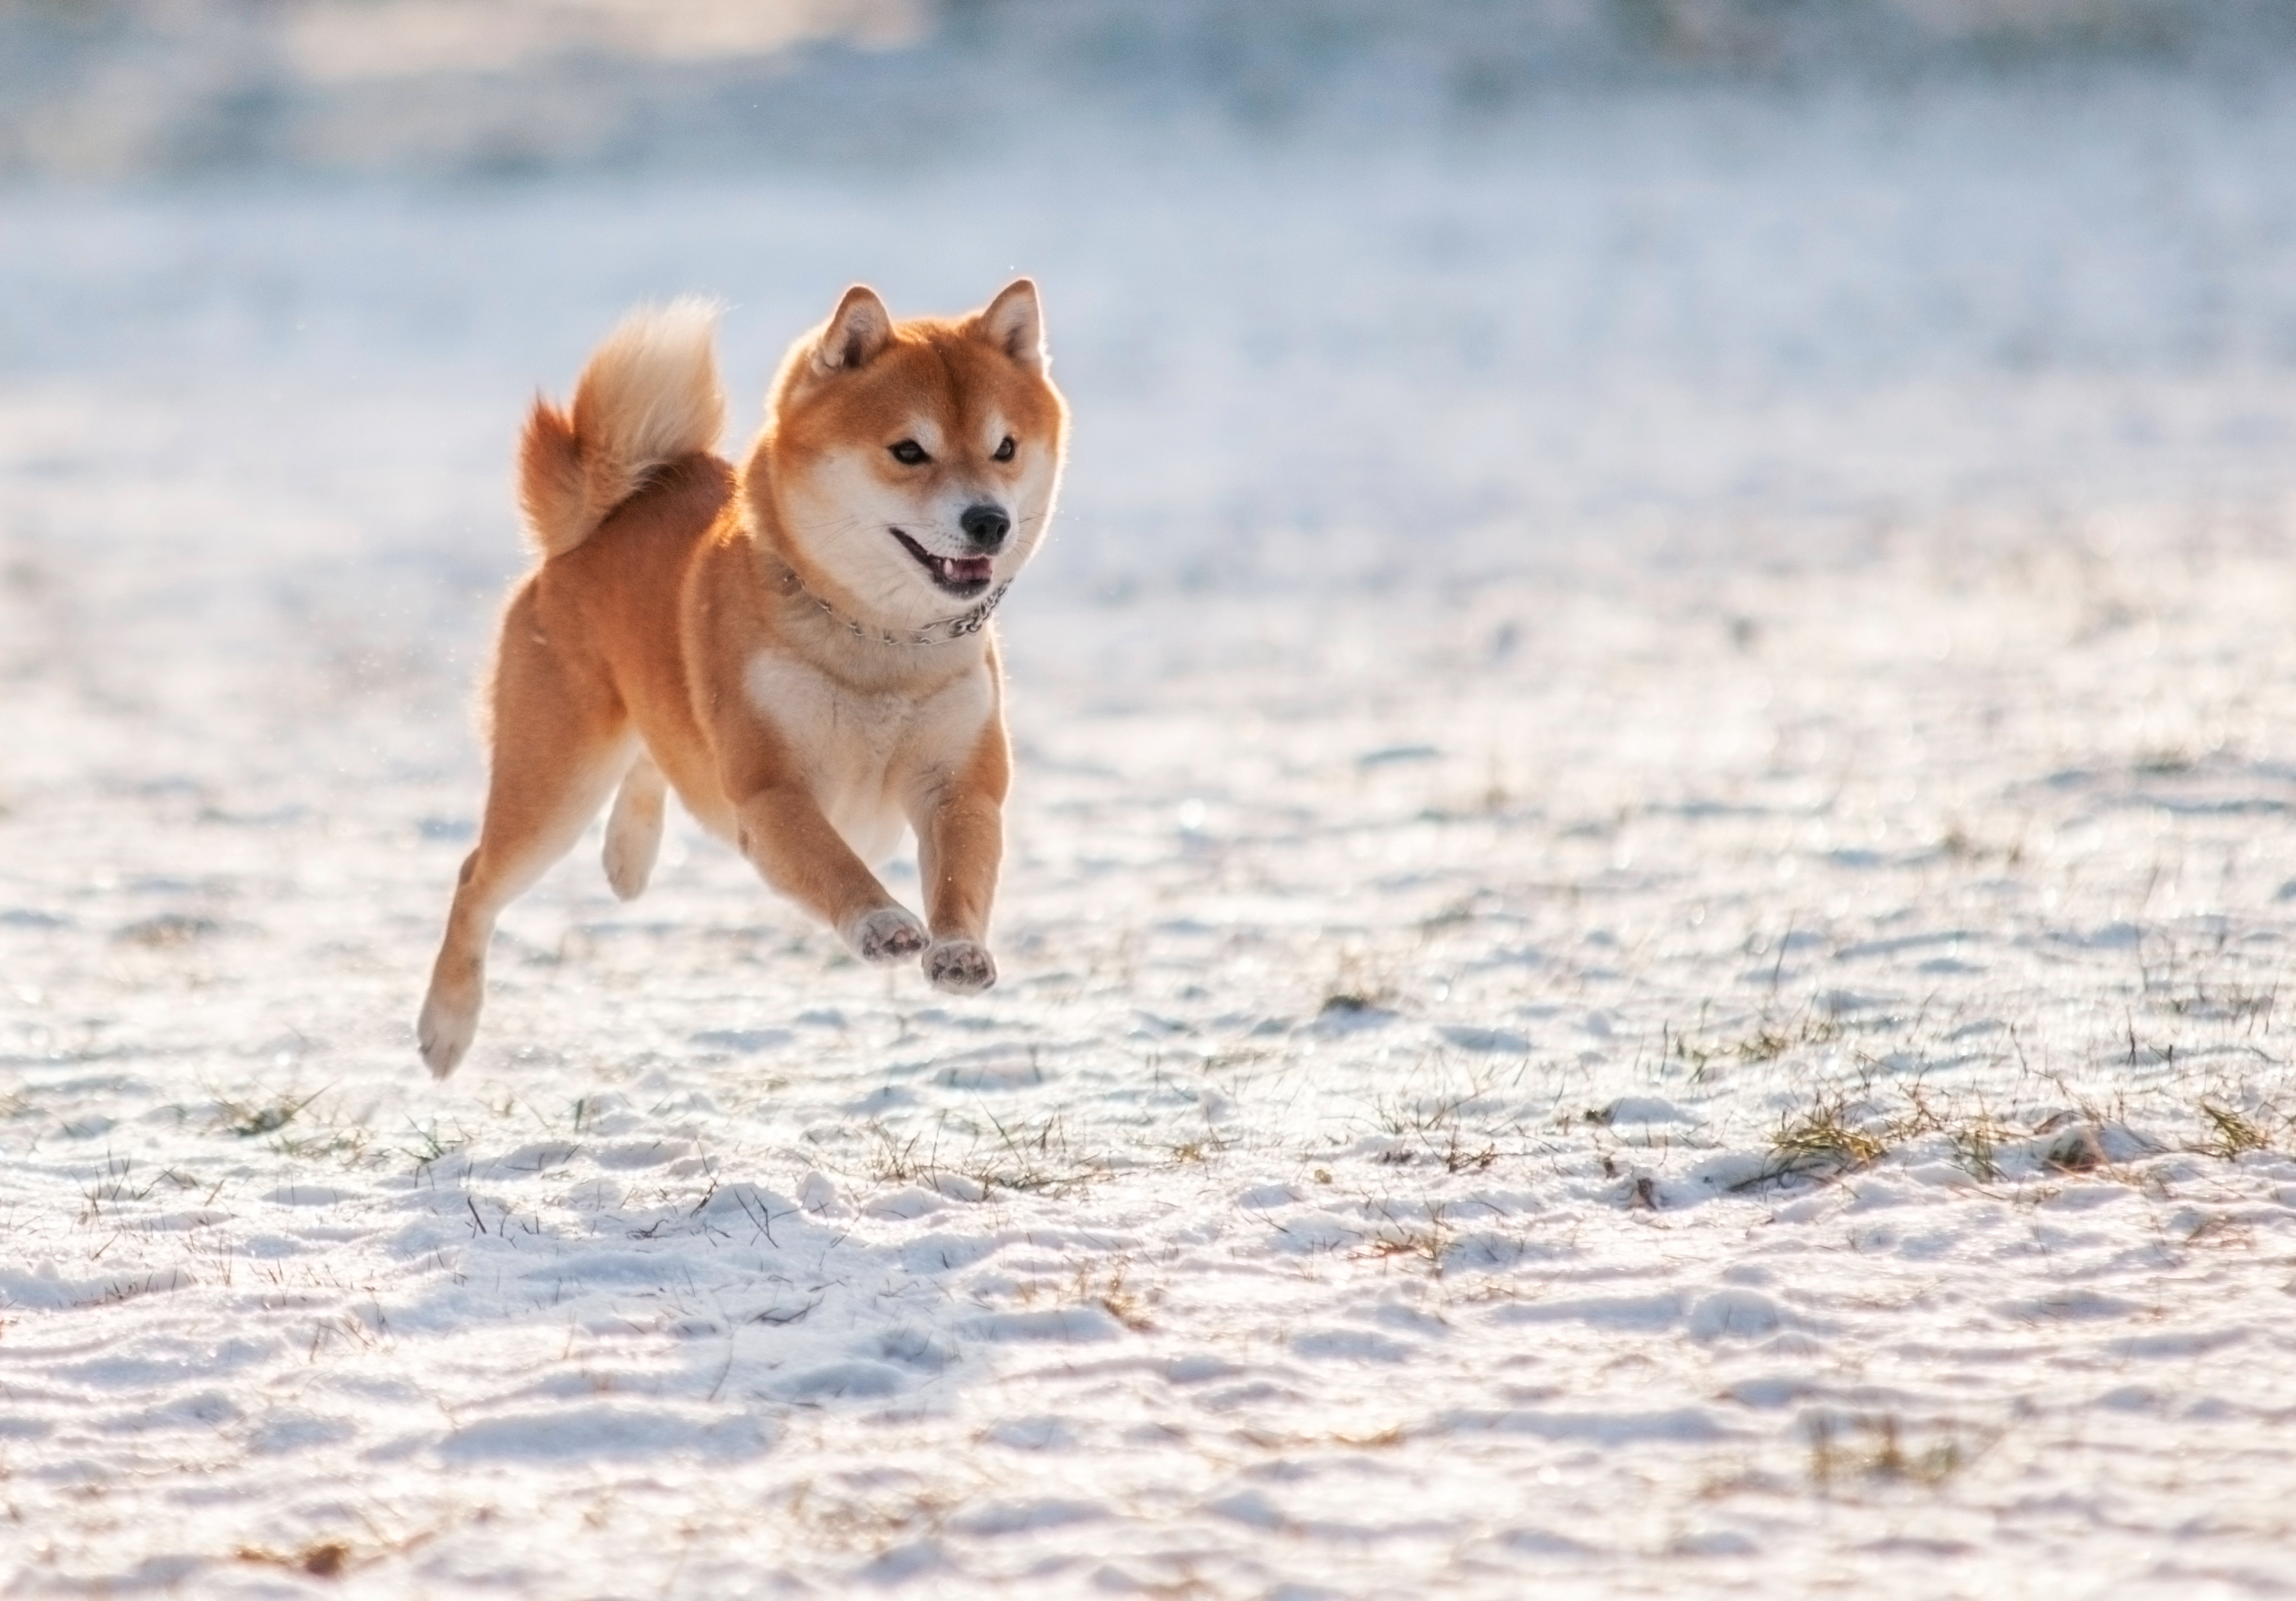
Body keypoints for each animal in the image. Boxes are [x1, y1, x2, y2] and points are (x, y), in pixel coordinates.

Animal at [417, 281, 1061, 1079]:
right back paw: (446, 1024)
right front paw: (880, 921)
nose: (988, 521)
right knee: (476, 879)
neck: (880, 642)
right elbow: (832, 862)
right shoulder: (770, 789)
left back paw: (628, 856)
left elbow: (962, 876)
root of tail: (593, 524)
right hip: (556, 782)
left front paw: (961, 951)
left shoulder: (961, 783)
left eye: (1005, 448)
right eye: (909, 451)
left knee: (655, 761)